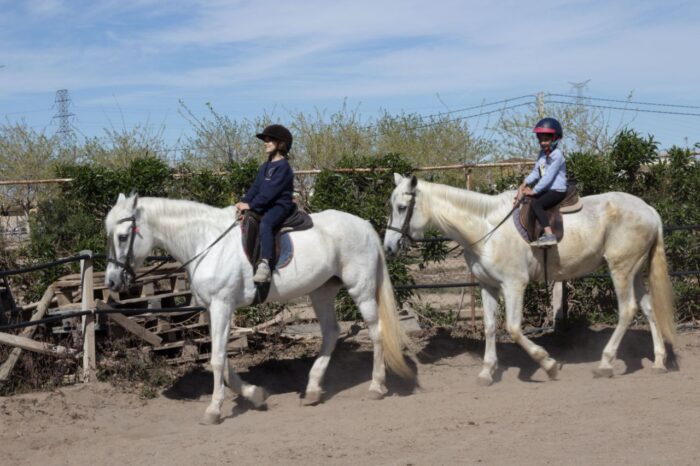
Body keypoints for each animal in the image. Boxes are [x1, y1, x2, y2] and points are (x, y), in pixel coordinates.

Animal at [103, 195, 410, 424]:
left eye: (123, 236)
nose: (112, 281)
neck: (205, 242)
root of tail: (365, 225)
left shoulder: (222, 306)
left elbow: (217, 359)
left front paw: (213, 410)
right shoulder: (213, 310)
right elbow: (222, 359)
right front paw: (254, 394)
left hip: (361, 289)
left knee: (376, 332)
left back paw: (376, 386)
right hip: (321, 291)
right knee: (332, 333)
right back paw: (312, 390)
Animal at [386, 175, 676, 386]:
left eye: (402, 207)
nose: (389, 247)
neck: (486, 229)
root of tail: (649, 209)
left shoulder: (514, 286)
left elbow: (514, 329)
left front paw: (548, 364)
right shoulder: (488, 287)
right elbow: (490, 327)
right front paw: (487, 372)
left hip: (621, 269)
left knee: (627, 310)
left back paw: (605, 363)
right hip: (634, 271)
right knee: (648, 308)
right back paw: (659, 362)